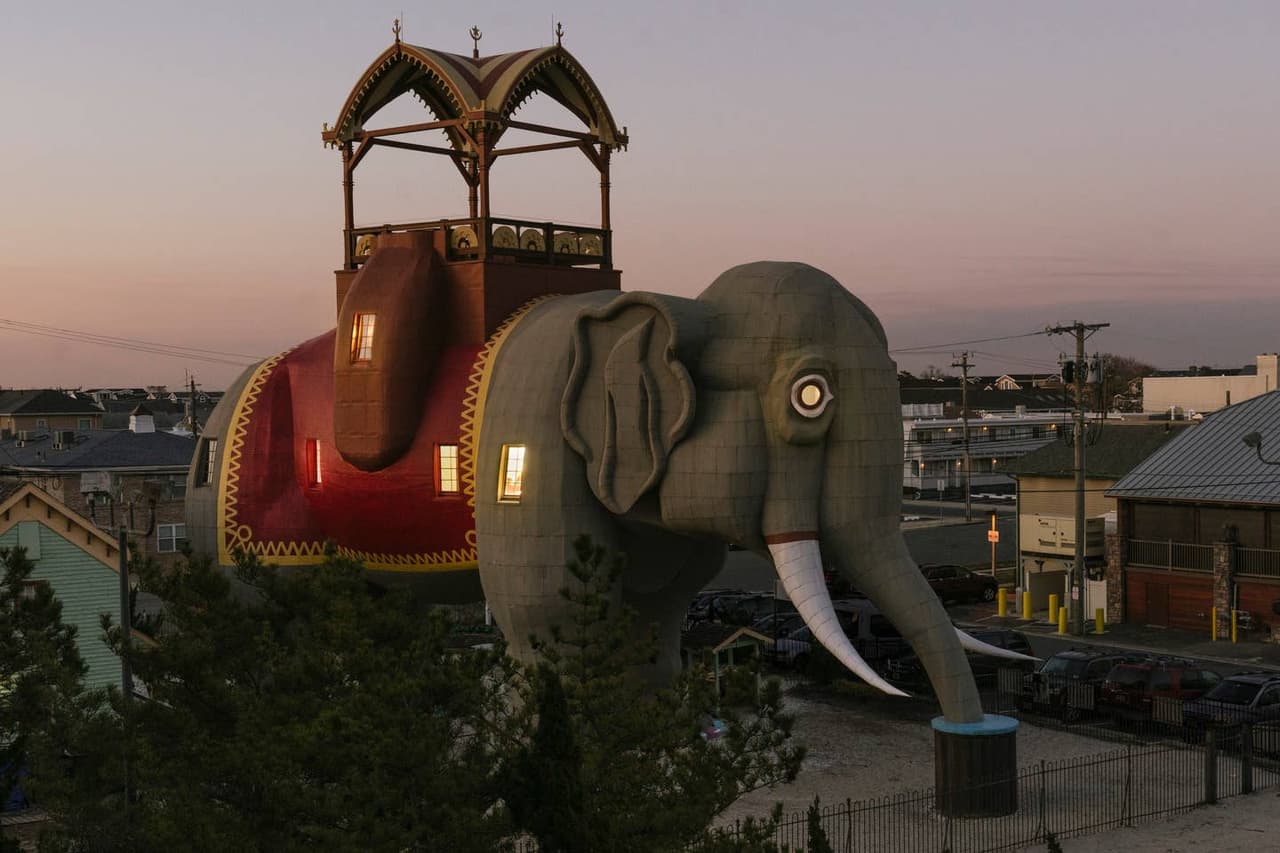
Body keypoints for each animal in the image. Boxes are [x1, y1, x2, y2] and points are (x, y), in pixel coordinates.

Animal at [187, 259, 1025, 724]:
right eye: (810, 396)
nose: (968, 737)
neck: (675, 305)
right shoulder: (532, 453)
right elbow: (548, 607)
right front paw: (553, 743)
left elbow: (657, 604)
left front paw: (652, 729)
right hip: (248, 492)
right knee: (280, 604)